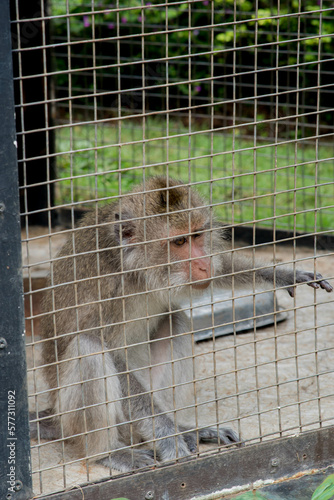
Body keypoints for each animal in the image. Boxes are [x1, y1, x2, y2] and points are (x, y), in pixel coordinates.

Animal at [30, 177, 332, 472]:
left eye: (196, 235)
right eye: (178, 242)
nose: (202, 265)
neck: (137, 269)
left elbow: (220, 271)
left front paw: (282, 274)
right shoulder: (109, 289)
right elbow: (109, 350)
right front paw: (167, 437)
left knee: (175, 319)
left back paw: (185, 429)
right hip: (76, 417)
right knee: (89, 348)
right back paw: (108, 453)